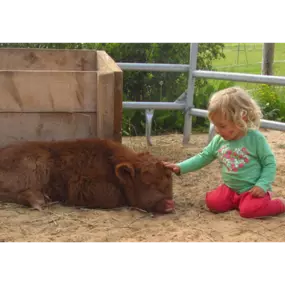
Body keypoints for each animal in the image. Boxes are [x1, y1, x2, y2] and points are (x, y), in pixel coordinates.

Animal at [0, 138, 173, 213]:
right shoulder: (81, 185)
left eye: (168, 181)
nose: (170, 203)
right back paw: (38, 200)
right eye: (148, 183)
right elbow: (113, 197)